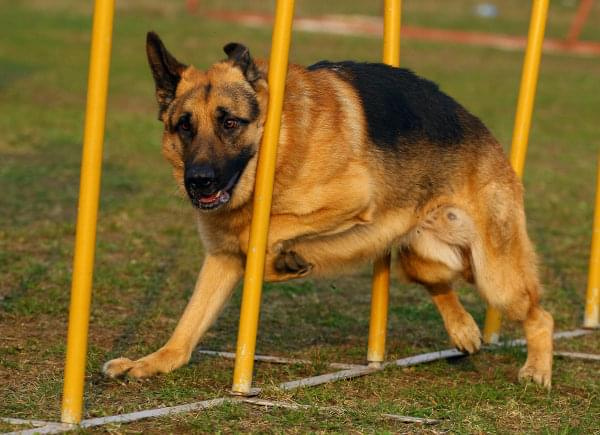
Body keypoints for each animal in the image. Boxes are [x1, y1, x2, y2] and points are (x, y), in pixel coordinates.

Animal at [102, 33, 552, 388]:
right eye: (184, 126)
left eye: (229, 123)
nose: (198, 182)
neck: (281, 142)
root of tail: (485, 134)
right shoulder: (221, 260)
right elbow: (188, 324)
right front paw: (151, 362)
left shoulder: (352, 198)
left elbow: (263, 233)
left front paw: (283, 261)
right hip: (420, 259)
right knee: (440, 285)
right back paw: (464, 331)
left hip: (496, 277)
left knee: (540, 316)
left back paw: (536, 371)